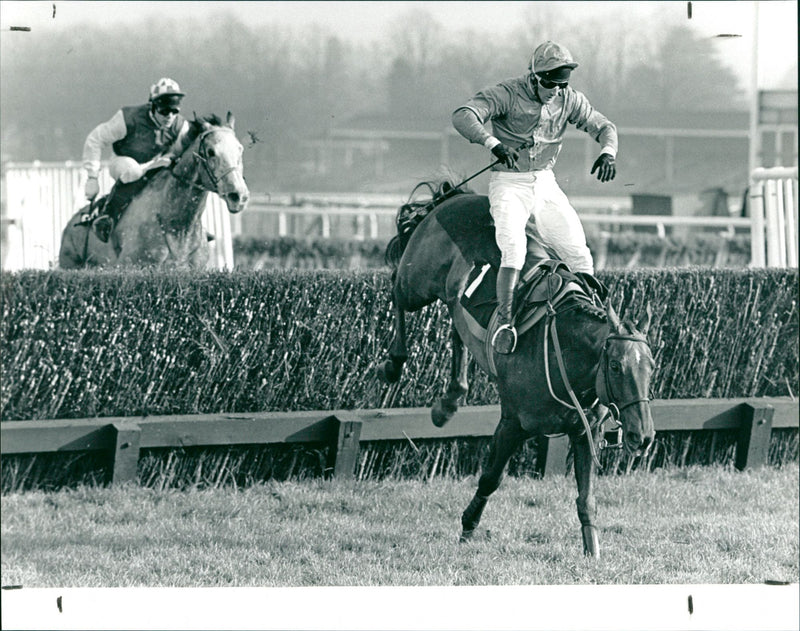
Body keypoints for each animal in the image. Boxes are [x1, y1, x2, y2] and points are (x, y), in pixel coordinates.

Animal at [57, 113, 247, 270]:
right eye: (211, 151)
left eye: (240, 149)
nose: (239, 196)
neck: (176, 226)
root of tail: (72, 222)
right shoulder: (132, 266)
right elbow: (96, 138)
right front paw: (91, 185)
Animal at [378, 183, 652, 556]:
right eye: (615, 365)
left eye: (651, 367)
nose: (643, 436)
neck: (561, 354)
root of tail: (453, 197)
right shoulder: (513, 424)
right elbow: (491, 478)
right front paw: (468, 527)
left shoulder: (584, 431)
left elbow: (586, 498)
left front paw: (592, 549)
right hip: (418, 280)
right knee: (396, 289)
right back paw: (393, 363)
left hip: (450, 297)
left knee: (456, 329)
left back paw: (448, 402)